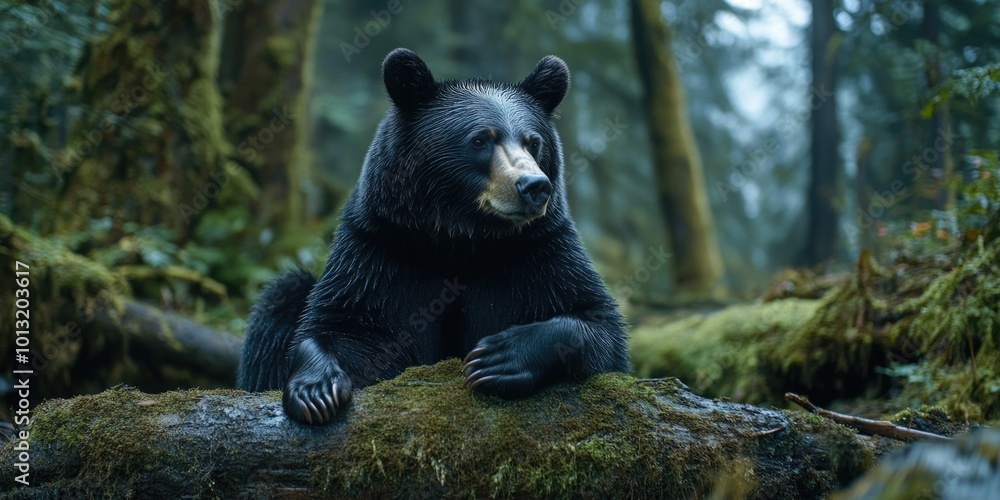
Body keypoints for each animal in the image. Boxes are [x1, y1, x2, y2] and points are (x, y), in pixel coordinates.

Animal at [238, 48, 629, 424]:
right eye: (480, 139)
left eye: (533, 142)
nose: (534, 186)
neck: (461, 238)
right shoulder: (380, 248)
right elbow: (346, 327)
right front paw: (317, 390)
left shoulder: (539, 250)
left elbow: (598, 324)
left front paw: (498, 357)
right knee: (281, 300)